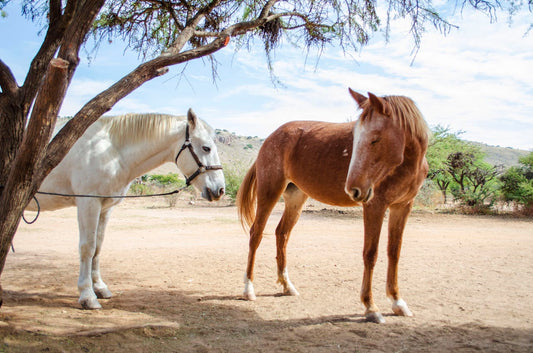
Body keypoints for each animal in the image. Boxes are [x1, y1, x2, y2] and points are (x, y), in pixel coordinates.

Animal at [24, 108, 224, 308]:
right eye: (206, 148)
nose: (220, 190)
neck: (111, 151)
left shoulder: (105, 208)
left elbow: (98, 247)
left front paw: (100, 288)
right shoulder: (88, 203)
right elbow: (87, 247)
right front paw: (87, 295)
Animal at [237, 87, 428, 322]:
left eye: (375, 139)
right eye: (355, 138)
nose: (353, 189)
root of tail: (271, 136)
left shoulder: (402, 207)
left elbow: (394, 253)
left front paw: (397, 302)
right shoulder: (375, 205)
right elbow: (370, 253)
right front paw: (370, 307)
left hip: (296, 198)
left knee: (282, 233)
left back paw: (287, 286)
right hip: (269, 192)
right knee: (256, 233)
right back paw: (248, 289)